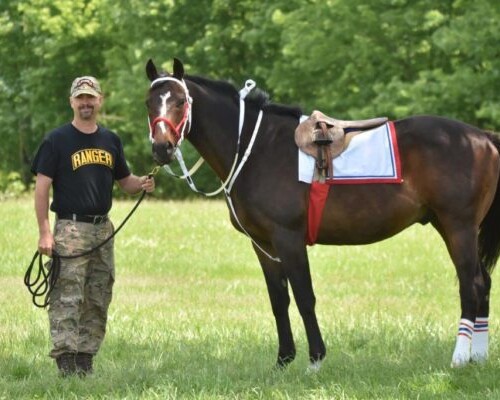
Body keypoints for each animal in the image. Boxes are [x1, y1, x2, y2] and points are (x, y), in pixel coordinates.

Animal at [144, 57, 500, 370]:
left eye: (180, 101)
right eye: (149, 103)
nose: (161, 148)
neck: (255, 149)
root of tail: (481, 136)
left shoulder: (288, 239)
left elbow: (304, 297)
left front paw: (315, 359)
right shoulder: (263, 245)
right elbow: (279, 300)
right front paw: (283, 360)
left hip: (458, 227)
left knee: (471, 285)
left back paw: (459, 358)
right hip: (447, 225)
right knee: (483, 283)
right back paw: (479, 358)